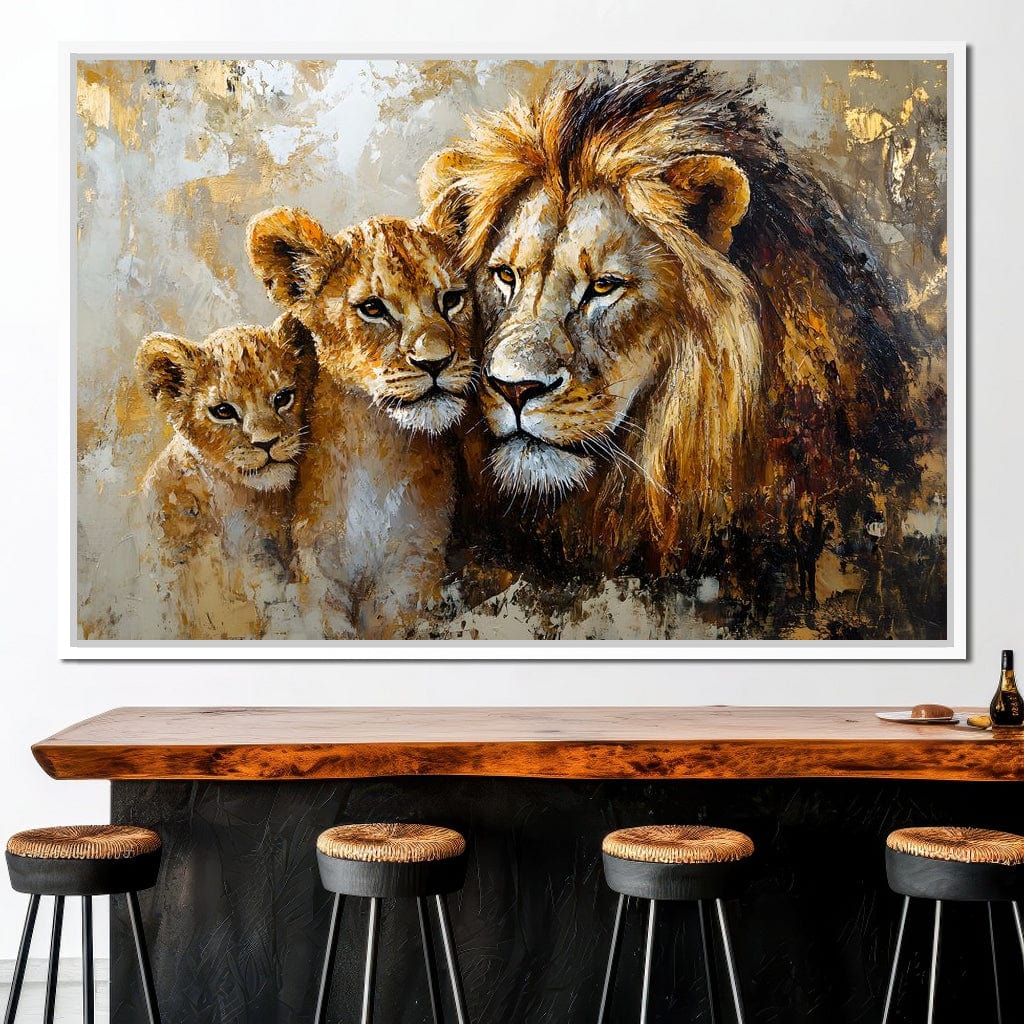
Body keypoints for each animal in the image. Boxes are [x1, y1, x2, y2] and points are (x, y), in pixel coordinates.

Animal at [246, 207, 477, 639]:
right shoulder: (316, 568)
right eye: (372, 309)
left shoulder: (414, 568)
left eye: (452, 299)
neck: (376, 445)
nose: (436, 362)